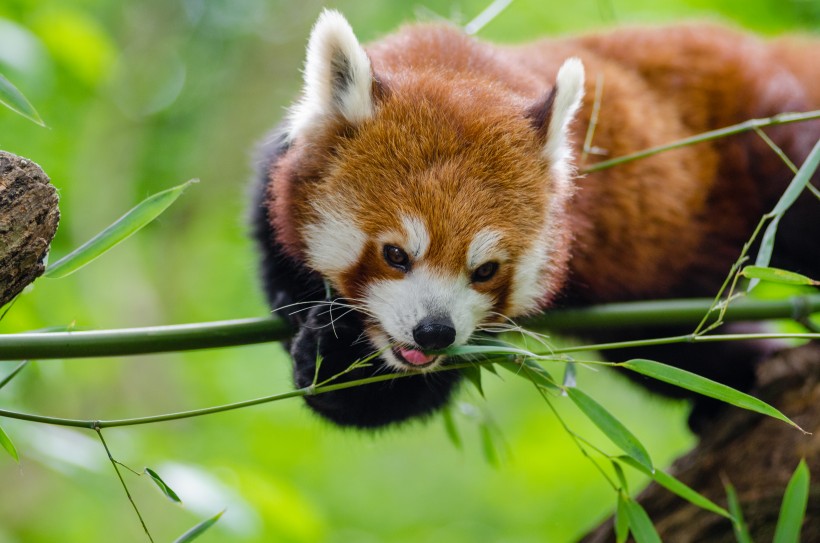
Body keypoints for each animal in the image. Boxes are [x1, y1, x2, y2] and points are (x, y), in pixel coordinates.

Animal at [253, 9, 816, 430]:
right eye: (395, 254)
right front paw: (311, 320)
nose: (434, 332)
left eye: (486, 270)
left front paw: (337, 359)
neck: (455, 64)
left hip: (772, 144)